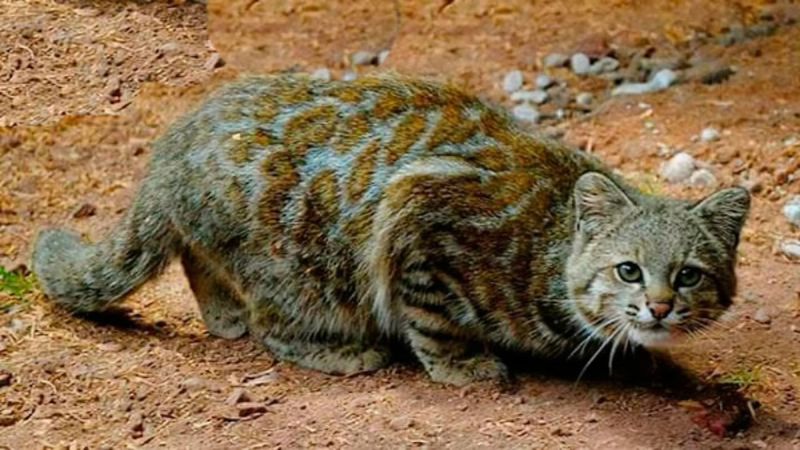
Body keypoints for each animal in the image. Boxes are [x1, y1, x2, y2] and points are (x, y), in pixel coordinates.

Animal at [32, 74, 752, 386]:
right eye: (628, 269)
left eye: (690, 275)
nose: (659, 307)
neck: (548, 244)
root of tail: (172, 145)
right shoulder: (418, 213)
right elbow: (435, 317)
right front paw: (463, 365)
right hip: (302, 267)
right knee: (273, 323)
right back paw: (335, 349)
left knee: (194, 254)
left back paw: (221, 312)